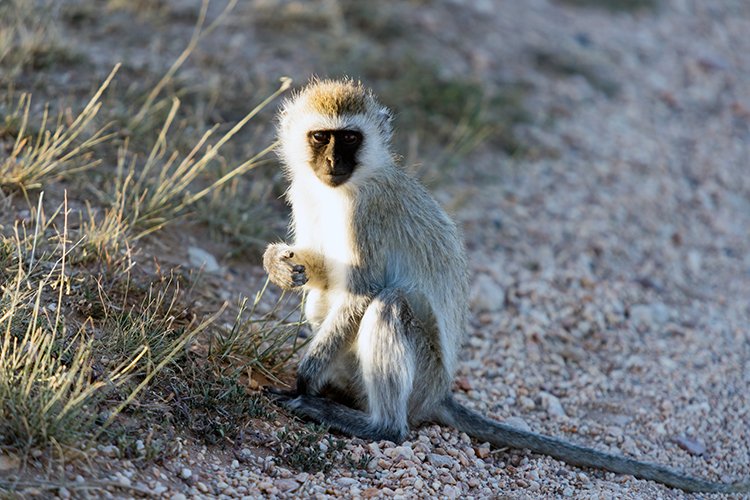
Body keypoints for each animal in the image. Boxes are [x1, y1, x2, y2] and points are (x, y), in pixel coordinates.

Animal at [264, 78, 748, 492]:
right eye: (320, 137)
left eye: (349, 139)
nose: (332, 163)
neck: (341, 191)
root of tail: (440, 393)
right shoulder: (305, 192)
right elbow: (321, 270)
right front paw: (280, 265)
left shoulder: (368, 214)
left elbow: (362, 292)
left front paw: (305, 379)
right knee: (325, 304)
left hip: (423, 379)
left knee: (391, 306)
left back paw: (371, 421)